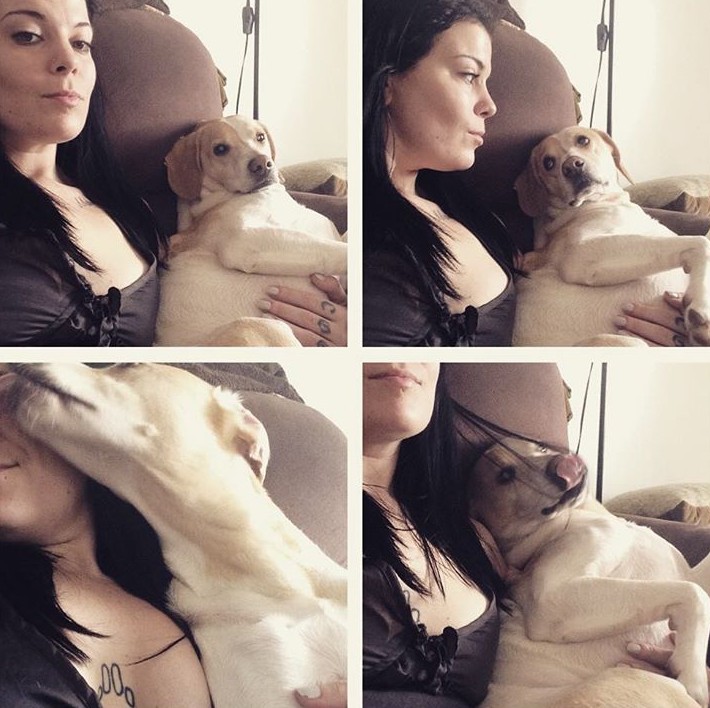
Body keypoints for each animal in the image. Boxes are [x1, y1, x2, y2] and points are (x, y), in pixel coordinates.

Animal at [155, 115, 348, 346]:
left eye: (260, 137)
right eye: (220, 149)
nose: (262, 164)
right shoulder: (243, 241)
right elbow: (332, 250)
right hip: (262, 325)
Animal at [467, 436, 710, 708]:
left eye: (540, 447)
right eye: (505, 475)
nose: (563, 463)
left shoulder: (691, 573)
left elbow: (697, 587)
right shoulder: (552, 598)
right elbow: (695, 595)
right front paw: (693, 674)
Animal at [513, 127, 710, 346]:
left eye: (583, 140)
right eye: (548, 163)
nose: (572, 166)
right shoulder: (579, 255)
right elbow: (700, 242)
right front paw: (700, 304)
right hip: (631, 342)